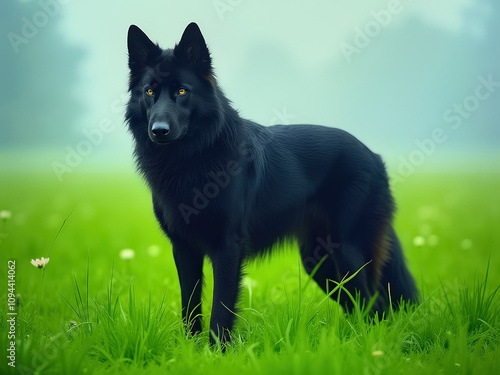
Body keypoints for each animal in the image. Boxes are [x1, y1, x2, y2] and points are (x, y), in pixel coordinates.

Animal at [125, 22, 418, 346]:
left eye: (181, 91)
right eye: (150, 91)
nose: (159, 131)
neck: (192, 158)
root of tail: (374, 156)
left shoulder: (227, 248)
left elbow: (220, 309)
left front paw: (217, 352)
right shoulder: (184, 249)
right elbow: (190, 308)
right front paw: (190, 351)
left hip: (347, 253)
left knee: (374, 305)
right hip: (321, 263)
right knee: (363, 306)